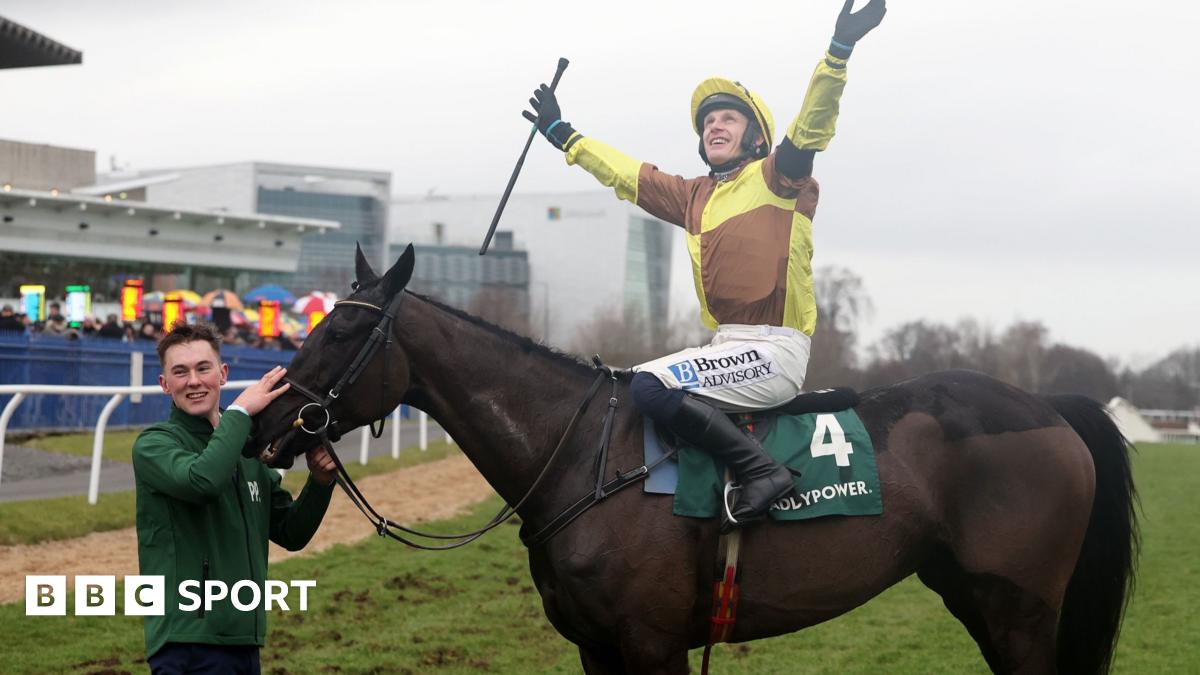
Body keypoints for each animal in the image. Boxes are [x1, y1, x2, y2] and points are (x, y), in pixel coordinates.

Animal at [250, 247, 1132, 672]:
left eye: (339, 331)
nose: (264, 421)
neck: (582, 456)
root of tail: (1051, 406)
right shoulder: (597, 647)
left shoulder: (651, 641)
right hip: (975, 596)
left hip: (1020, 610)